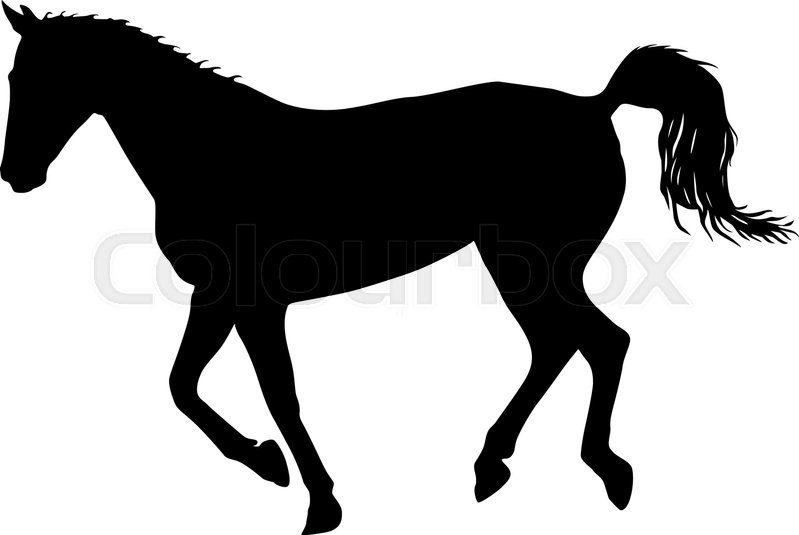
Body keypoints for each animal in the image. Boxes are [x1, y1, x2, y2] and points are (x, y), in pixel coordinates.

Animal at [1, 4, 793, 534]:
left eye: (43, 78)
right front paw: (267, 464)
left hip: (529, 260)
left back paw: (600, 470)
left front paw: (317, 500)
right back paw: (495, 464)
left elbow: (275, 395)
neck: (214, 149)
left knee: (596, 342)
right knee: (564, 344)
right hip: (528, 262)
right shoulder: (221, 295)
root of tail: (593, 106)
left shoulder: (254, 299)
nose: (16, 175)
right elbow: (183, 386)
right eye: (15, 73)